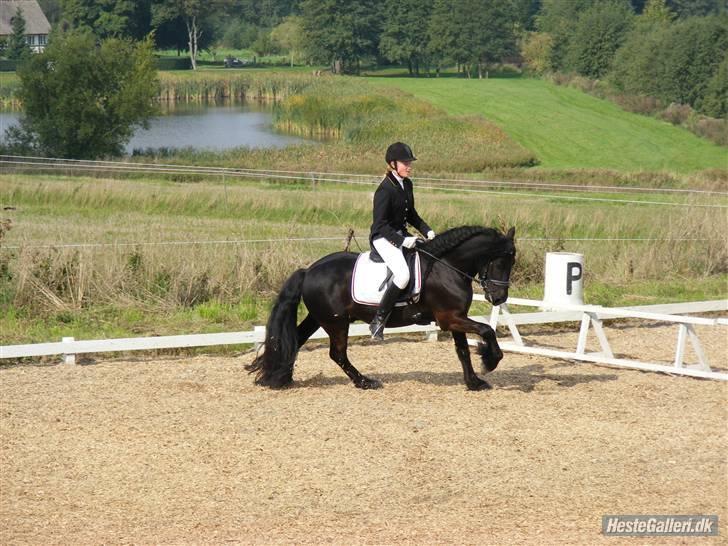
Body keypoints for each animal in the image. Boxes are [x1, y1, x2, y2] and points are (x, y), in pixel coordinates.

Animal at [246, 226, 516, 391]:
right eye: (500, 261)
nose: (499, 298)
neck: (447, 266)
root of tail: (309, 270)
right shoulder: (449, 318)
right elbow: (487, 330)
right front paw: (491, 360)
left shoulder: (455, 317)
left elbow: (463, 351)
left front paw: (474, 382)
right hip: (336, 322)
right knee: (337, 354)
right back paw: (365, 382)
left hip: (319, 318)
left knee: (297, 340)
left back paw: (280, 377)